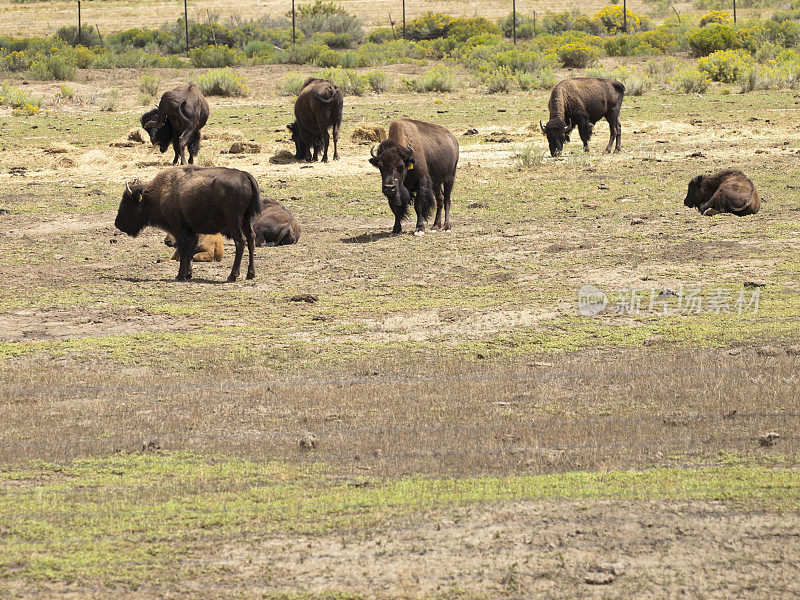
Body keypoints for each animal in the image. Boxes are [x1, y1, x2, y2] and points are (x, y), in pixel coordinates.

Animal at [115, 165, 262, 282]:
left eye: (126, 203)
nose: (118, 224)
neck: (159, 193)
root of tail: (245, 175)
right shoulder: (191, 231)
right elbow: (190, 250)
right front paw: (188, 274)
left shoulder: (178, 229)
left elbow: (183, 249)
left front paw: (180, 275)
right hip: (247, 219)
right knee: (251, 239)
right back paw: (250, 274)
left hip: (234, 221)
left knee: (240, 241)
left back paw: (232, 276)